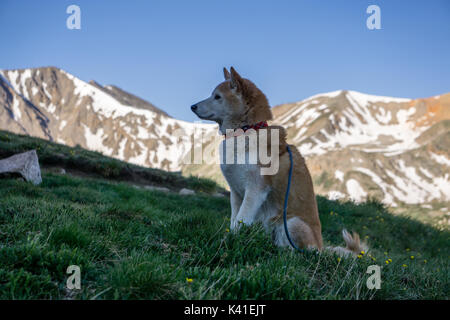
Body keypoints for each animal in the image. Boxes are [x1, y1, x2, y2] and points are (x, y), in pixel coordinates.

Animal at [191, 67, 366, 258]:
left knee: (300, 251)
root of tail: (321, 247)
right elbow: (234, 220)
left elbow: (240, 219)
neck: (246, 131)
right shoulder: (236, 194)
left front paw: (229, 241)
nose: (193, 106)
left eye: (217, 96)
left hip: (290, 222)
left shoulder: (255, 190)